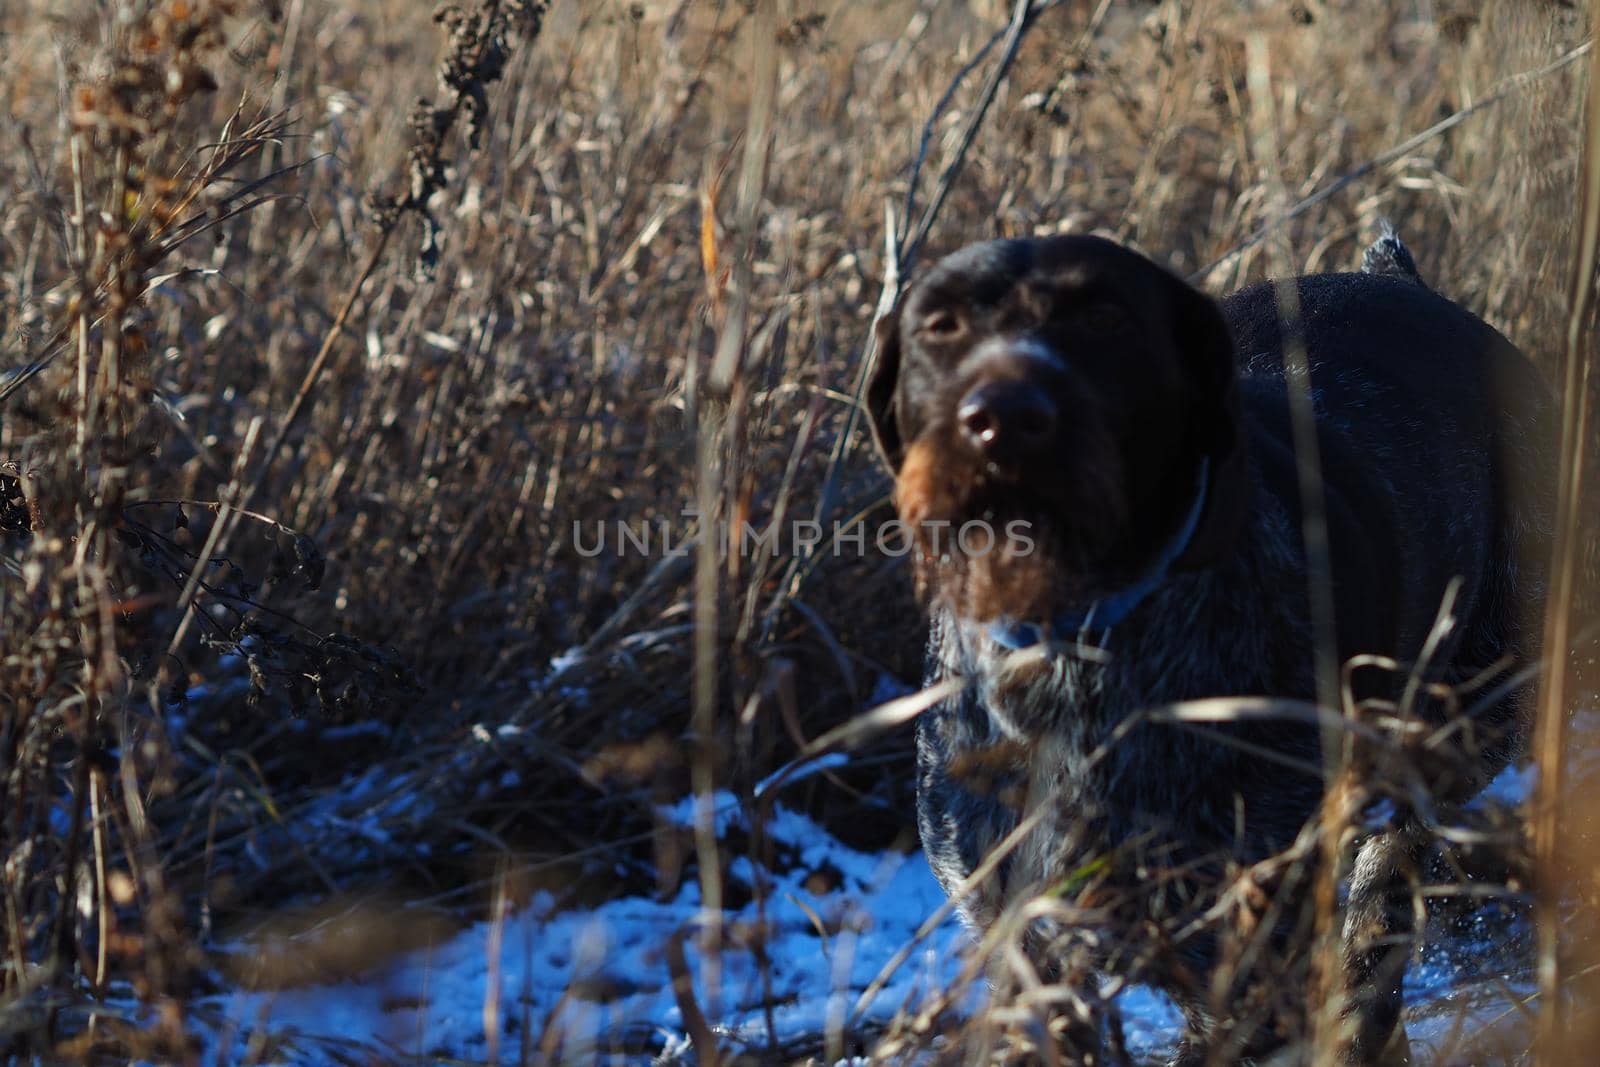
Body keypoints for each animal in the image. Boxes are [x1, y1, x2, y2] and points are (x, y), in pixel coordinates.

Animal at [870, 235, 1555, 1067]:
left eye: (1107, 318)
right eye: (941, 326)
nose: (1002, 417)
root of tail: (1403, 279)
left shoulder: (1244, 964)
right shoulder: (1025, 952)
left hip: (1469, 722)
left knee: (1385, 889)